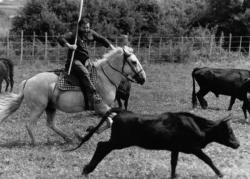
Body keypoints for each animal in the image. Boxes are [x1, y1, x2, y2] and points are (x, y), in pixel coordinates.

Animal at [0, 46, 146, 144]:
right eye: (134, 62)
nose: (143, 78)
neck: (104, 77)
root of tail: (28, 81)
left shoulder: (103, 109)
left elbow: (110, 120)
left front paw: (85, 132)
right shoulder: (102, 107)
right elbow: (111, 121)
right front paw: (88, 132)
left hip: (50, 107)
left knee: (51, 124)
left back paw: (68, 138)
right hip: (38, 108)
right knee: (30, 125)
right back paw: (35, 143)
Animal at [69, 107, 240, 178]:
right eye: (229, 131)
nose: (237, 144)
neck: (197, 125)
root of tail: (122, 112)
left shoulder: (175, 149)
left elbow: (173, 163)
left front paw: (173, 176)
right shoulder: (194, 148)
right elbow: (208, 159)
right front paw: (220, 173)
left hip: (118, 141)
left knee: (102, 147)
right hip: (119, 142)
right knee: (101, 146)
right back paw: (87, 169)